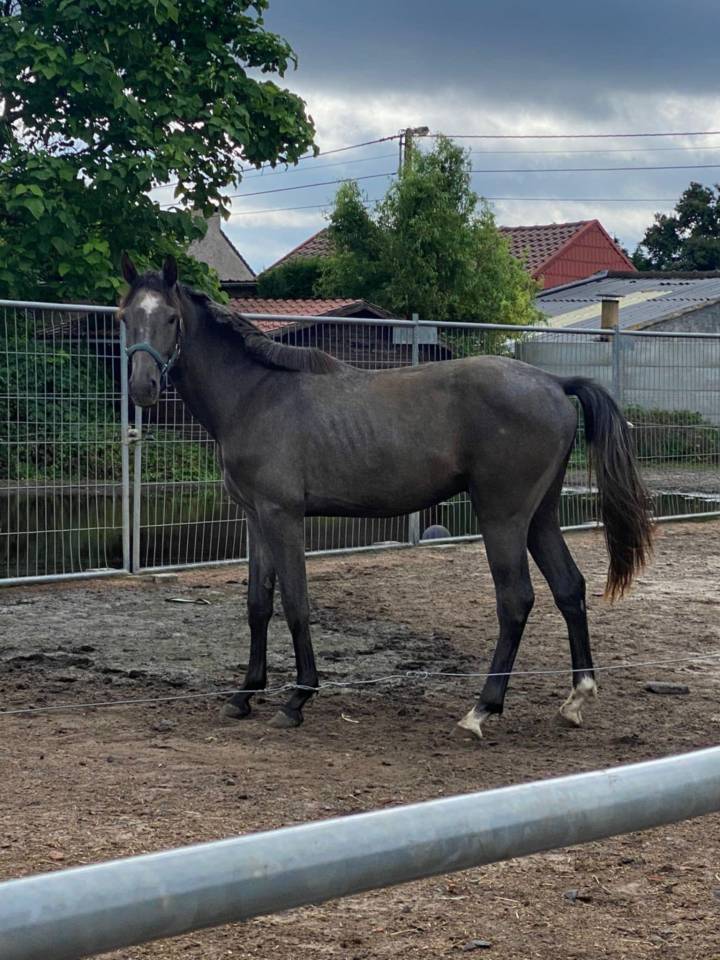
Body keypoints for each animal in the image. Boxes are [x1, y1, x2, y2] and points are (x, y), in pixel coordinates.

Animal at [119, 254, 653, 738]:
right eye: (125, 317)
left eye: (171, 317)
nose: (143, 387)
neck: (257, 394)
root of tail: (554, 383)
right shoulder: (255, 518)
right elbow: (257, 605)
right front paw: (244, 694)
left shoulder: (283, 517)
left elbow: (296, 603)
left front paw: (298, 698)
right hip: (539, 516)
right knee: (569, 588)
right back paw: (575, 698)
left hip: (502, 517)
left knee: (515, 599)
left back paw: (481, 709)